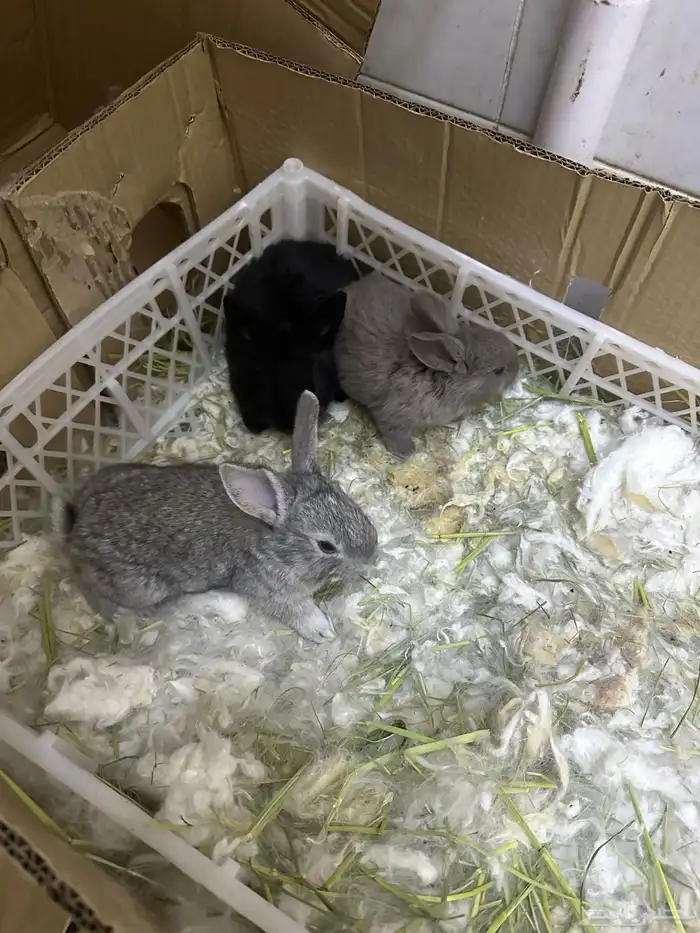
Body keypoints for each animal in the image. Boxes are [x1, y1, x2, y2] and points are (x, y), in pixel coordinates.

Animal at [56, 392, 378, 643]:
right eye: (326, 546)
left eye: (347, 499)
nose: (372, 557)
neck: (274, 542)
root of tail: (76, 529)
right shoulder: (265, 587)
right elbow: (295, 610)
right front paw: (323, 631)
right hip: (140, 587)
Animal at [335, 271, 519, 457]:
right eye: (499, 370)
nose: (517, 369)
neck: (442, 379)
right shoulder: (392, 415)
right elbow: (393, 431)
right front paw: (406, 453)